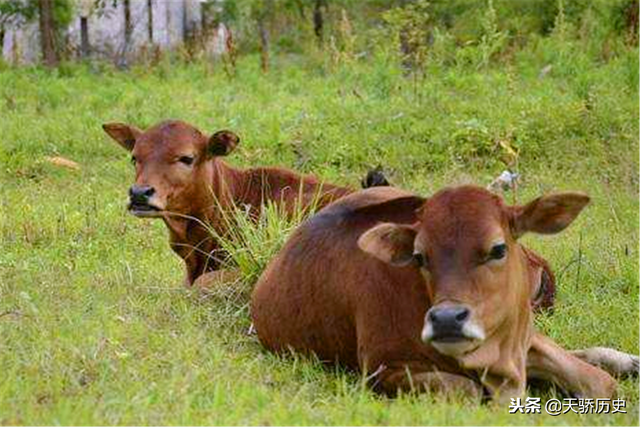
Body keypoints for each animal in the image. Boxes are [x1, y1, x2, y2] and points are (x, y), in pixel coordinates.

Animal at [252, 186, 636, 402]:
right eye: (420, 256)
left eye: (498, 249)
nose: (447, 319)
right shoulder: (382, 369)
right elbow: (467, 390)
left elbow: (600, 383)